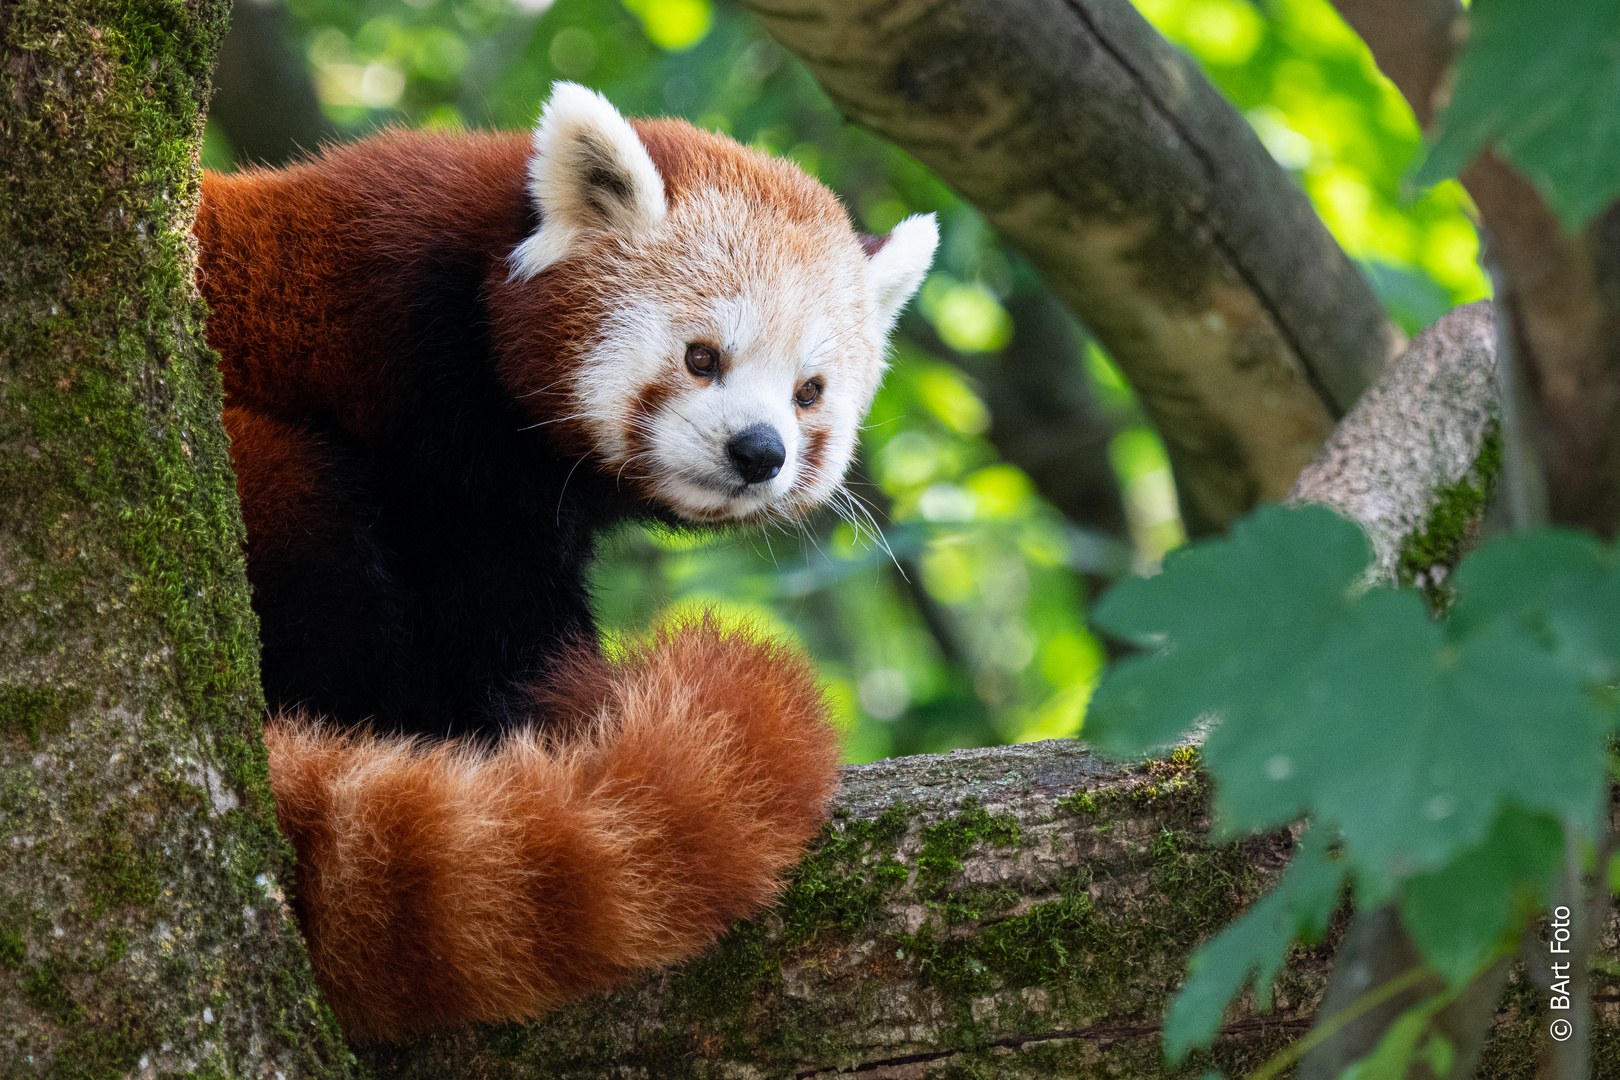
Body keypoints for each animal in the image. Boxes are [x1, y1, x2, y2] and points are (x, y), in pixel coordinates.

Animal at [197, 84, 939, 1036]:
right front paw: (553, 714)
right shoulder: (432, 414)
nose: (759, 450)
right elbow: (495, 624)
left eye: (810, 393)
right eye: (703, 357)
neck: (475, 301)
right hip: (253, 465)